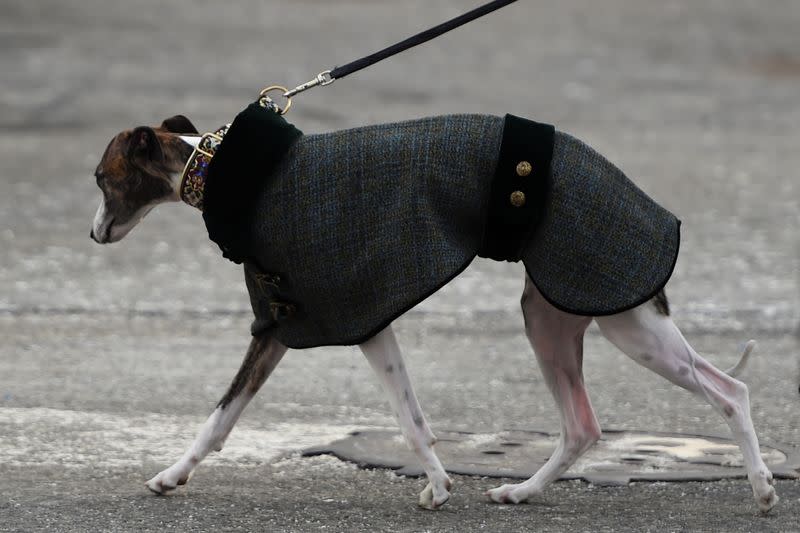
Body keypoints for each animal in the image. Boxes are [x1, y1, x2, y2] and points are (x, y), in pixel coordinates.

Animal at [90, 115, 780, 512]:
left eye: (100, 177)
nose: (92, 235)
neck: (227, 172)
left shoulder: (340, 319)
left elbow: (400, 418)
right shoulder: (303, 323)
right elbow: (229, 419)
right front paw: (173, 475)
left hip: (625, 320)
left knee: (730, 390)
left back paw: (763, 489)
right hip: (552, 319)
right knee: (583, 425)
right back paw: (522, 490)